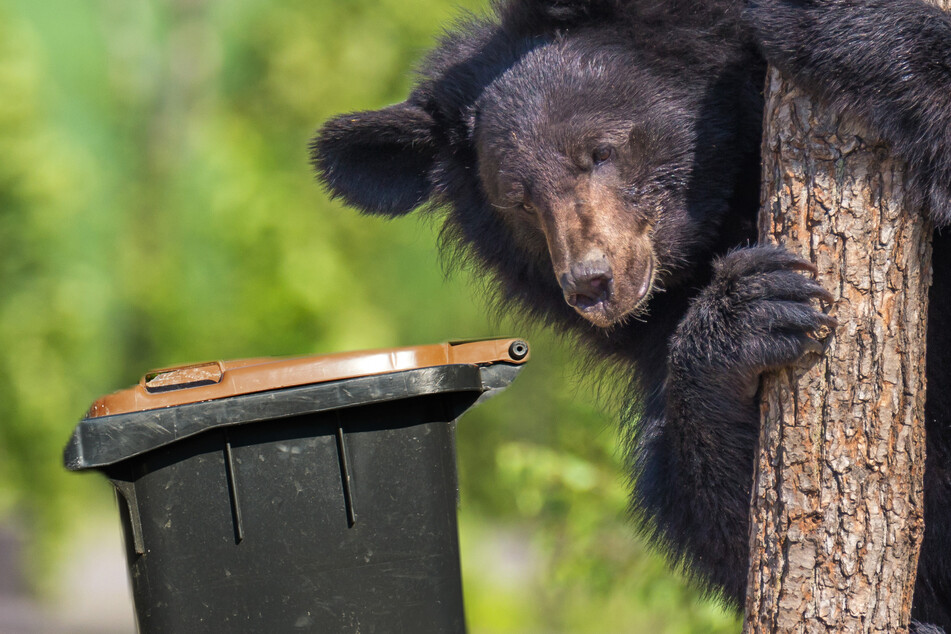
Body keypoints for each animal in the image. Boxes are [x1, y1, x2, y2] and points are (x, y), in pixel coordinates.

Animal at [312, 0, 951, 624]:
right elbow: (731, 521)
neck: (722, 215)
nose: (591, 283)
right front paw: (746, 316)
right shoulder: (654, 340)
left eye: (601, 151)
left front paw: (829, 19)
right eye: (519, 202)